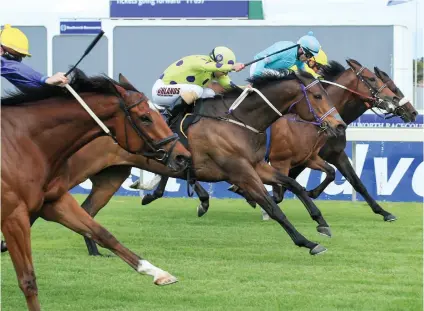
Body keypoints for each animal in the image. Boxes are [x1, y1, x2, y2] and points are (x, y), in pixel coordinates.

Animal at [0, 71, 191, 311]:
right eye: (145, 117)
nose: (183, 156)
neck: (25, 142)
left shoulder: (54, 202)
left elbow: (104, 234)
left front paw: (158, 273)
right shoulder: (13, 215)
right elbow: (28, 279)